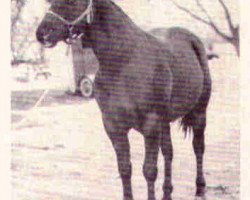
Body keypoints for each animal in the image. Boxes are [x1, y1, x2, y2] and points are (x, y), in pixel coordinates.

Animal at [35, 0, 211, 199]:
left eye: (72, 2)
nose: (42, 33)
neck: (123, 62)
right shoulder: (114, 126)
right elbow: (125, 168)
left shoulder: (150, 125)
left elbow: (149, 170)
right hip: (164, 122)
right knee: (168, 152)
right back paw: (167, 193)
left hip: (199, 112)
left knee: (198, 147)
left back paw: (200, 188)